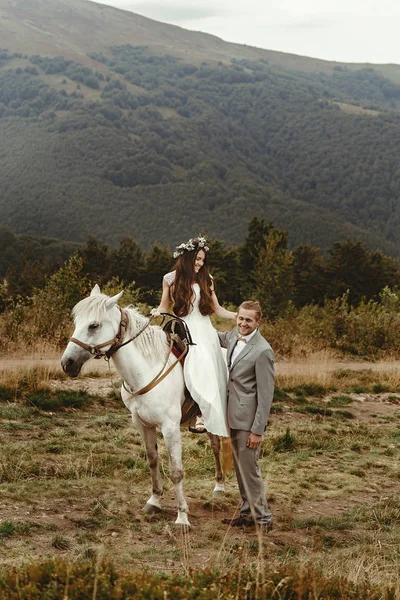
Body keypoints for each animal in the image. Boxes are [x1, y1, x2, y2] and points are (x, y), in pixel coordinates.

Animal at [61, 286, 227, 524]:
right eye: (76, 322)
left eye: (93, 325)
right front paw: (154, 501)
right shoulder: (142, 424)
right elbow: (152, 461)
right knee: (215, 445)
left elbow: (176, 470)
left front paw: (182, 516)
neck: (146, 369)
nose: (67, 363)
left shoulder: (170, 427)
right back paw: (219, 487)